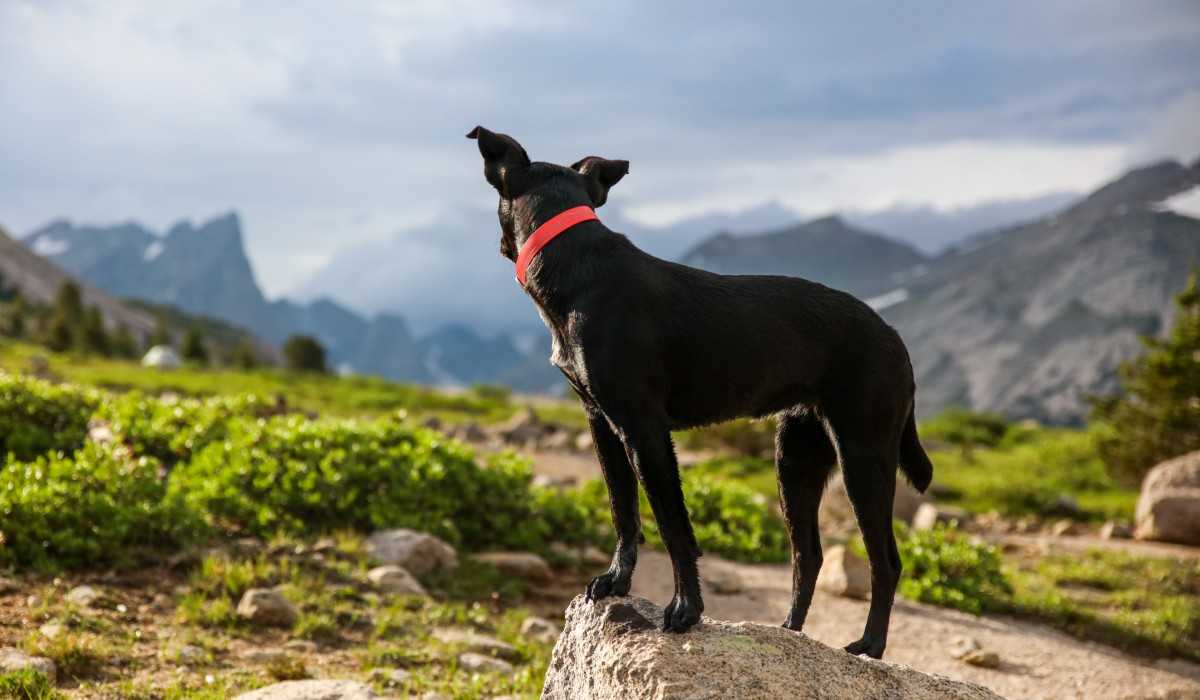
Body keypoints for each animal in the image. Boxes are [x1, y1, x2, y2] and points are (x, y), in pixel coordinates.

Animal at [463, 127, 931, 662]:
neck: (575, 262)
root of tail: (895, 338)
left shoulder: (645, 431)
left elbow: (674, 528)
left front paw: (686, 610)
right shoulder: (603, 424)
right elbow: (624, 513)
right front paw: (616, 581)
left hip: (863, 455)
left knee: (885, 560)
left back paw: (870, 645)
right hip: (795, 458)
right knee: (807, 555)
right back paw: (790, 632)